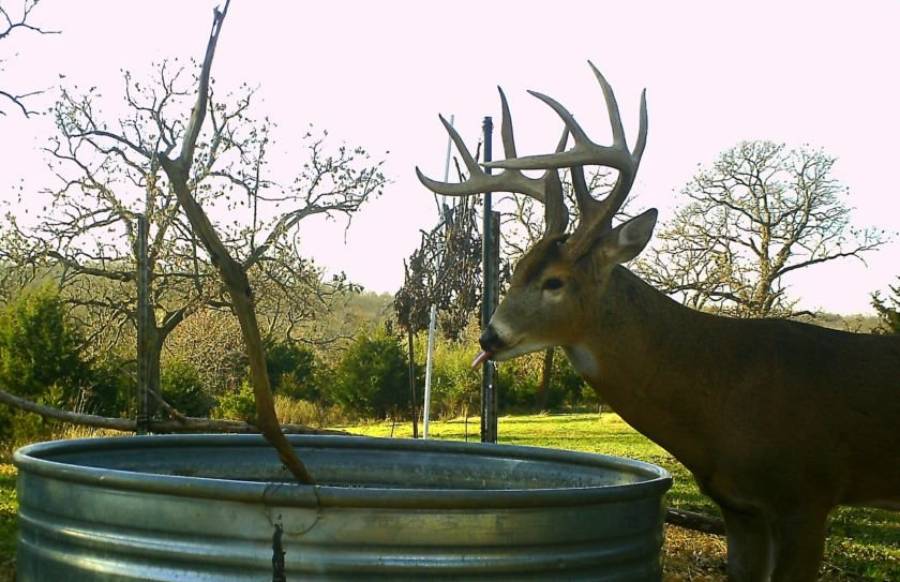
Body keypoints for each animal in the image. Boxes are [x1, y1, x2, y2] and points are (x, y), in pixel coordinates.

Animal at [416, 62, 900, 581]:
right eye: (517, 268)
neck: (724, 395)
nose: (490, 335)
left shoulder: (808, 495)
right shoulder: (740, 505)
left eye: (555, 281)